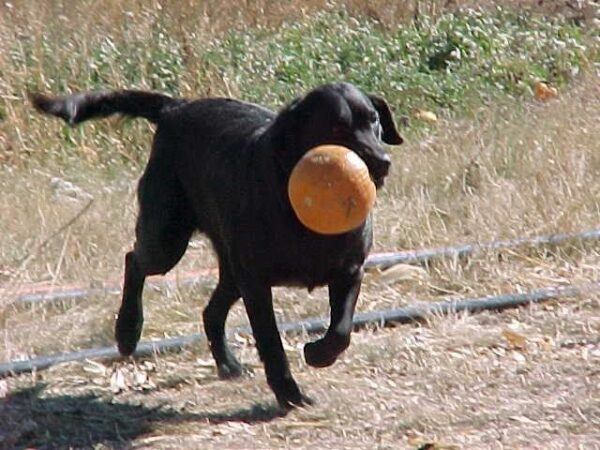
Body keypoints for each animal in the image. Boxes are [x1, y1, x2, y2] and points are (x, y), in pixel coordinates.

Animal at [29, 82, 404, 410]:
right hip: (167, 239)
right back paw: (128, 330)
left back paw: (228, 364)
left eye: (374, 120)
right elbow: (271, 343)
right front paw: (290, 395)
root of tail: (175, 108)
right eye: (336, 127)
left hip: (229, 267)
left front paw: (317, 353)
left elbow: (341, 331)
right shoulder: (256, 283)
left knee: (210, 311)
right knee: (134, 260)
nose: (382, 162)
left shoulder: (350, 270)